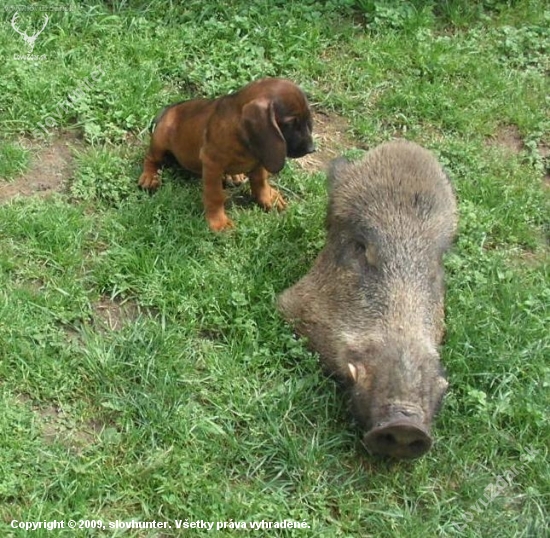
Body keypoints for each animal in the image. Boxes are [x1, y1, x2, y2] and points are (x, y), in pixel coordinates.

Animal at [139, 77, 314, 230]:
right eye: (290, 123)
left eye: (308, 119)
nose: (311, 149)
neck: (242, 140)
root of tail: (169, 109)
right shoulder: (212, 164)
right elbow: (215, 195)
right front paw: (218, 222)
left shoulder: (262, 157)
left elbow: (260, 180)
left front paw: (267, 197)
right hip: (160, 140)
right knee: (150, 158)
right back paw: (149, 176)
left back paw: (234, 175)